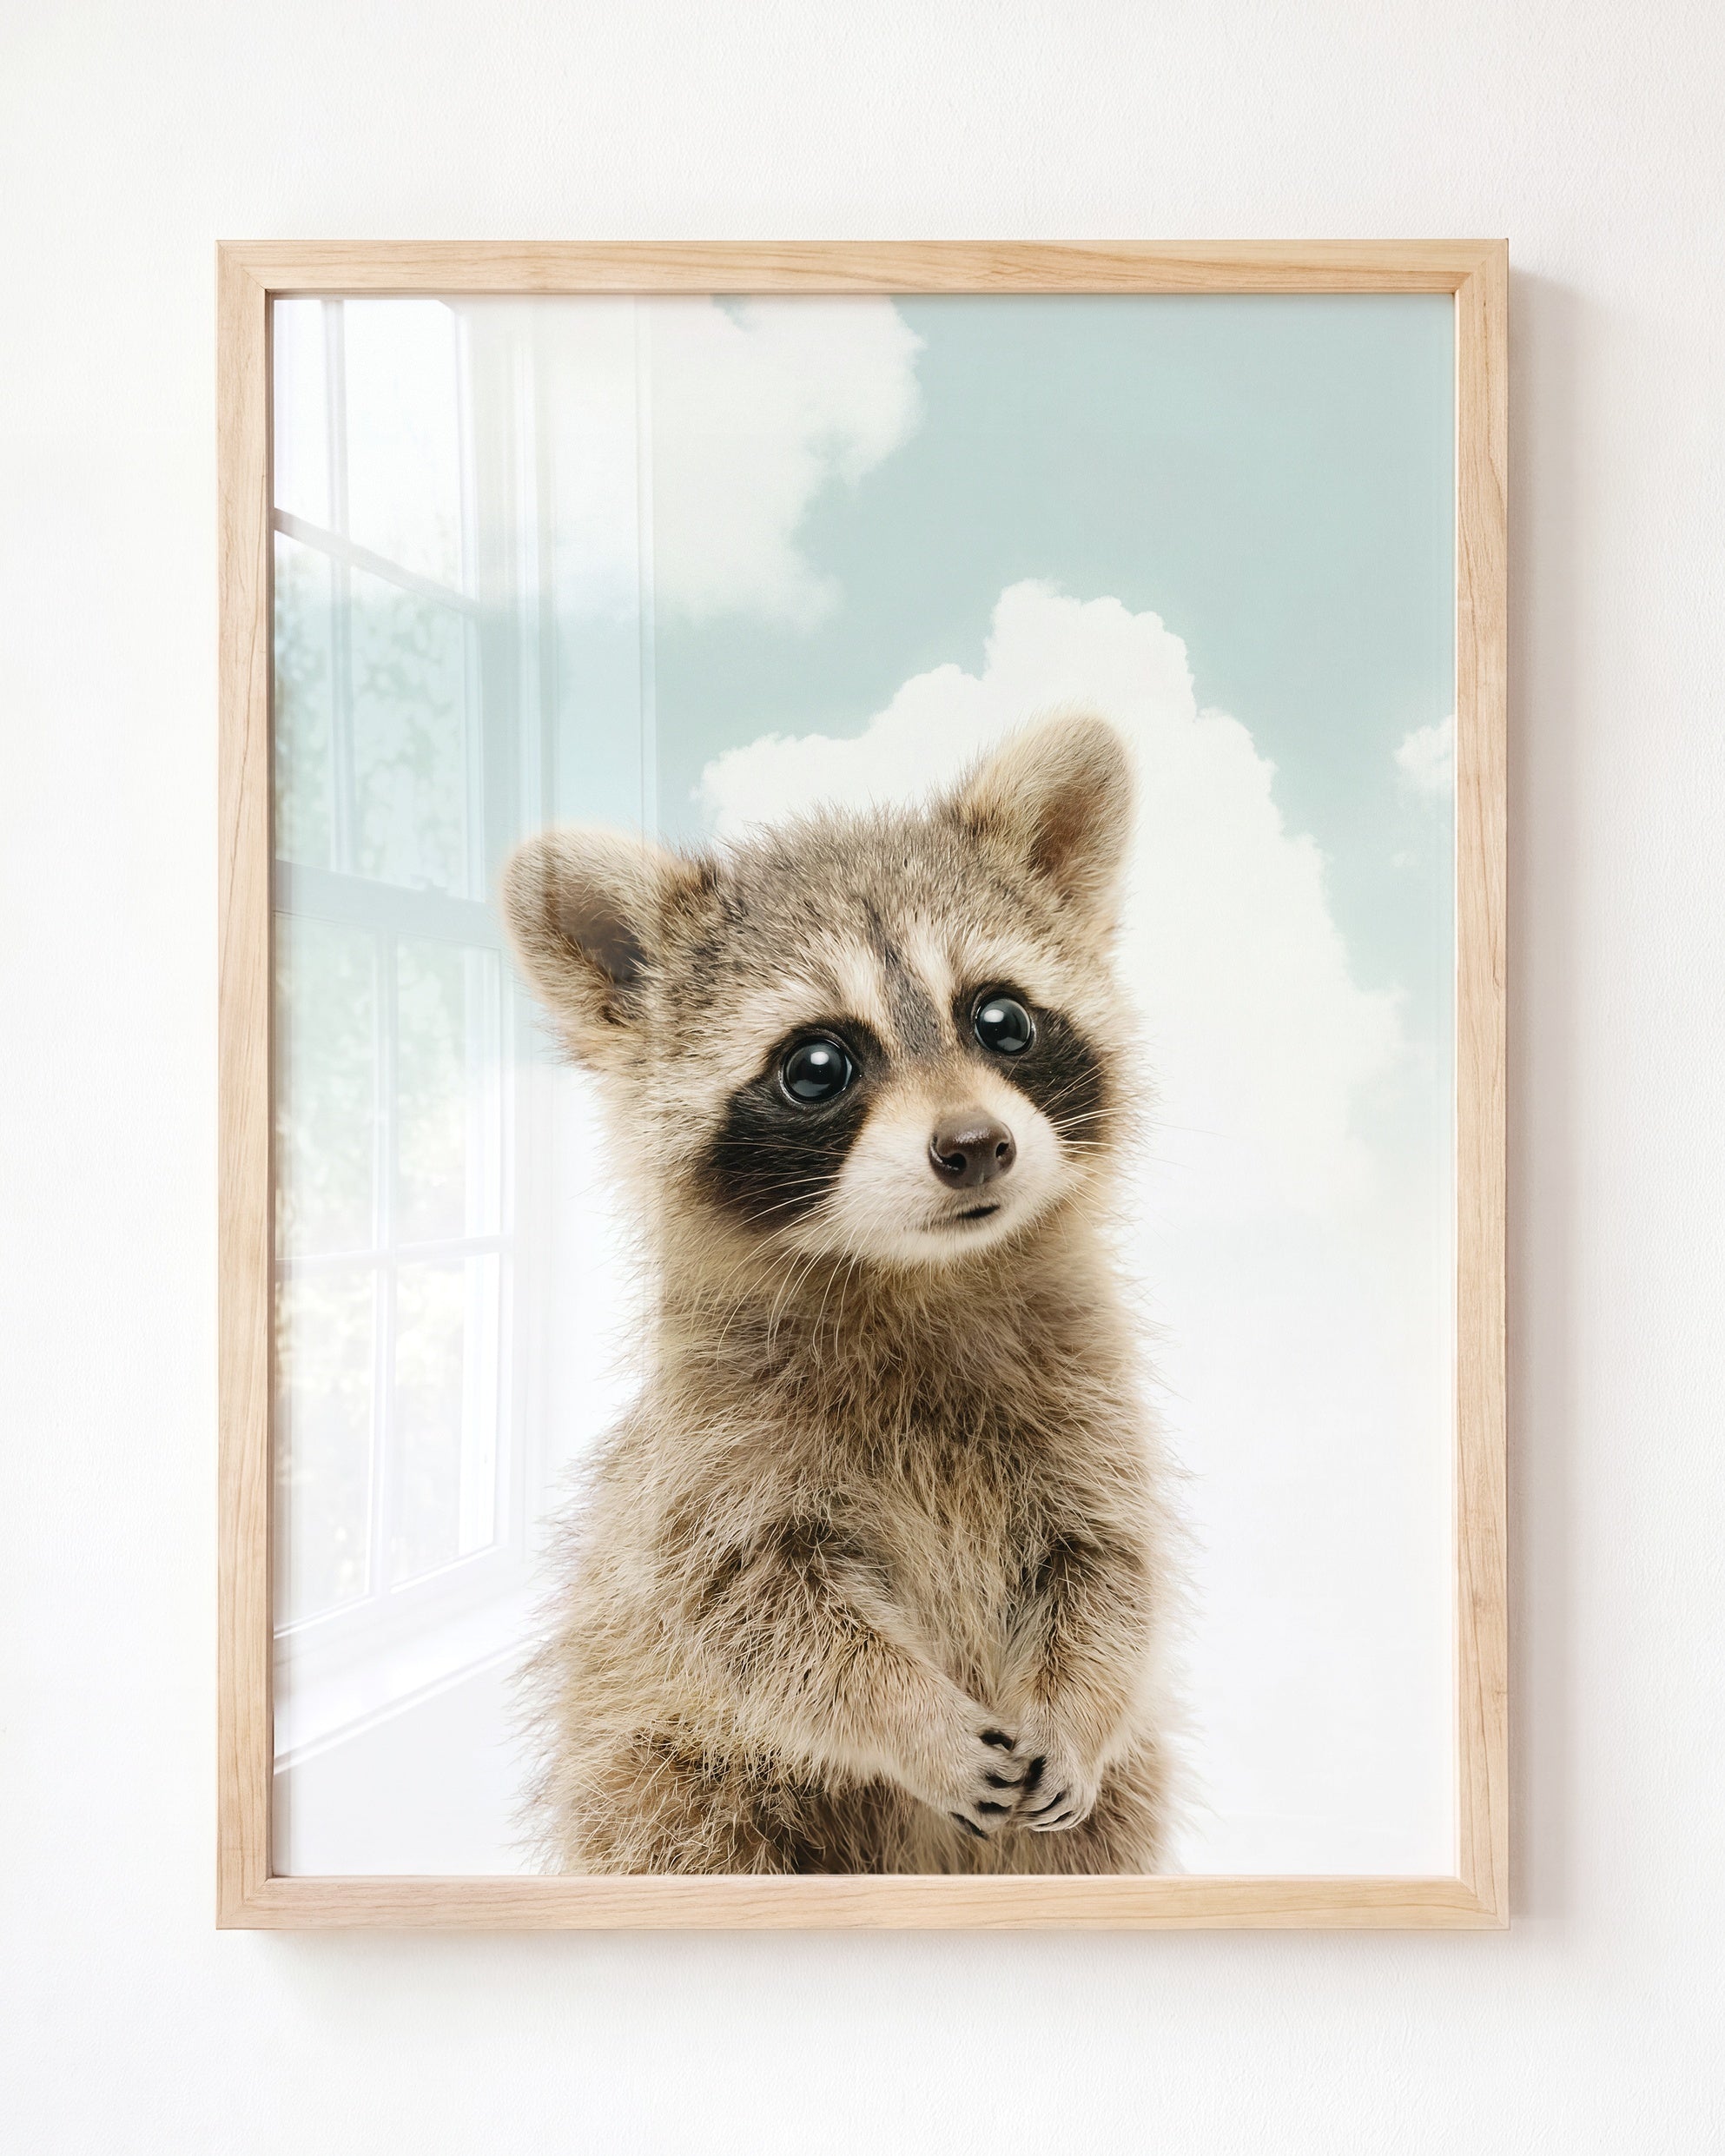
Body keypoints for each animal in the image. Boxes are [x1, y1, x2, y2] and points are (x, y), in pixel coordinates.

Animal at [502, 714, 1179, 1874]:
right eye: (818, 1065)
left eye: (1002, 1019)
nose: (975, 1145)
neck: (918, 1275)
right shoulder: (711, 1458)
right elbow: (759, 1617)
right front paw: (912, 1718)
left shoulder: (1087, 1404)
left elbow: (1108, 1567)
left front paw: (1080, 1703)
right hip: (666, 1777)